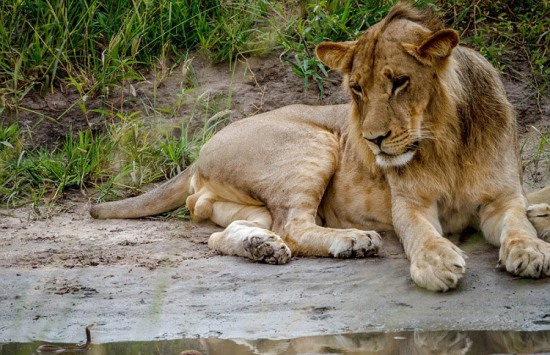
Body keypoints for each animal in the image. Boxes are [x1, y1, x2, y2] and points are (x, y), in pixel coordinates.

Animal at [90, 3, 550, 292]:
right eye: (357, 88)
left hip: (247, 200)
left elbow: (518, 224)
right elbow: (421, 233)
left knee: (234, 233)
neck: (446, 138)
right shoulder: (410, 204)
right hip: (314, 143)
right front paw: (436, 264)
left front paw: (531, 250)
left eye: (400, 82)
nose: (372, 140)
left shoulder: (503, 198)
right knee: (292, 226)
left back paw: (260, 247)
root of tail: (203, 147)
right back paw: (352, 241)